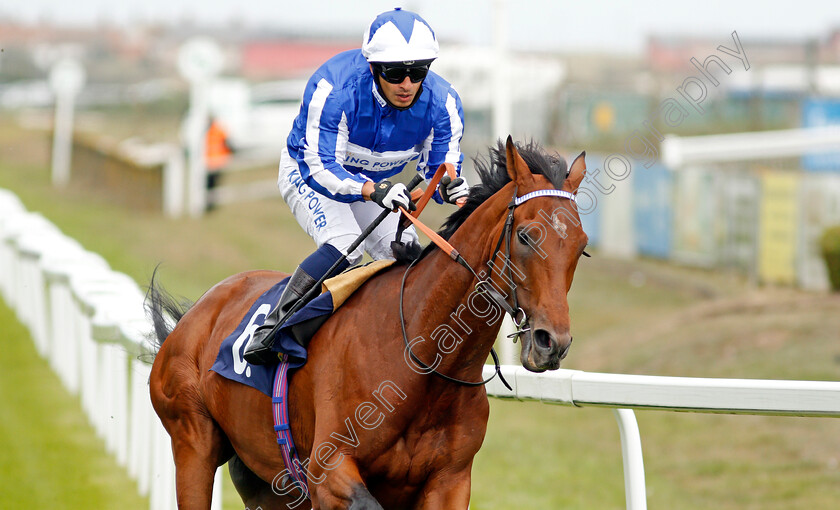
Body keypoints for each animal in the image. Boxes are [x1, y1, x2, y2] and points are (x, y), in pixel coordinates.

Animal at [148, 137, 588, 508]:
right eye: (527, 237)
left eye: (582, 247)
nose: (552, 342)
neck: (423, 362)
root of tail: (197, 313)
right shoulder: (328, 470)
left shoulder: (450, 481)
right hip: (193, 442)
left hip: (265, 482)